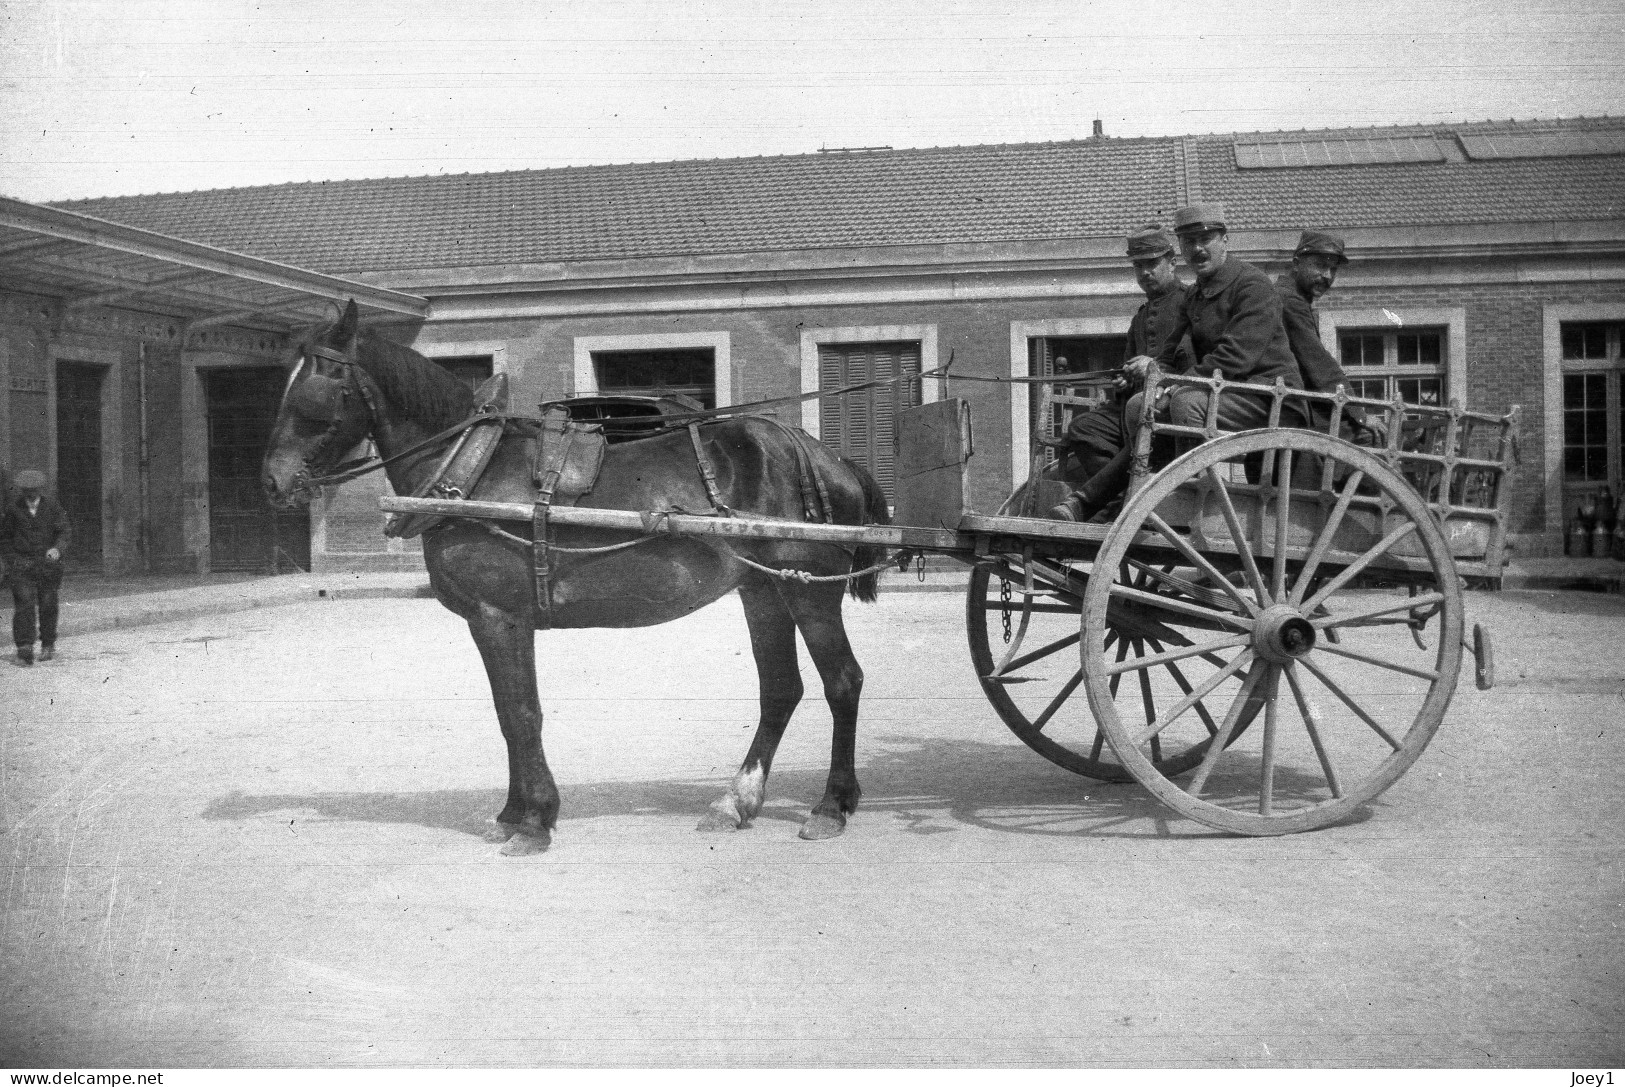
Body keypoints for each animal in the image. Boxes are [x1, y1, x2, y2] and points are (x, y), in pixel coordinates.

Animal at [258, 300, 890, 851]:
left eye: (315, 389)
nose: (271, 481)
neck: (475, 468)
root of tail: (825, 457)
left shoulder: (498, 617)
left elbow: (519, 713)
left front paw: (532, 821)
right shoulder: (500, 621)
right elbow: (511, 712)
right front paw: (515, 813)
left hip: (808, 590)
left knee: (843, 681)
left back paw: (831, 806)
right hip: (763, 590)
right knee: (781, 689)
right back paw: (738, 801)